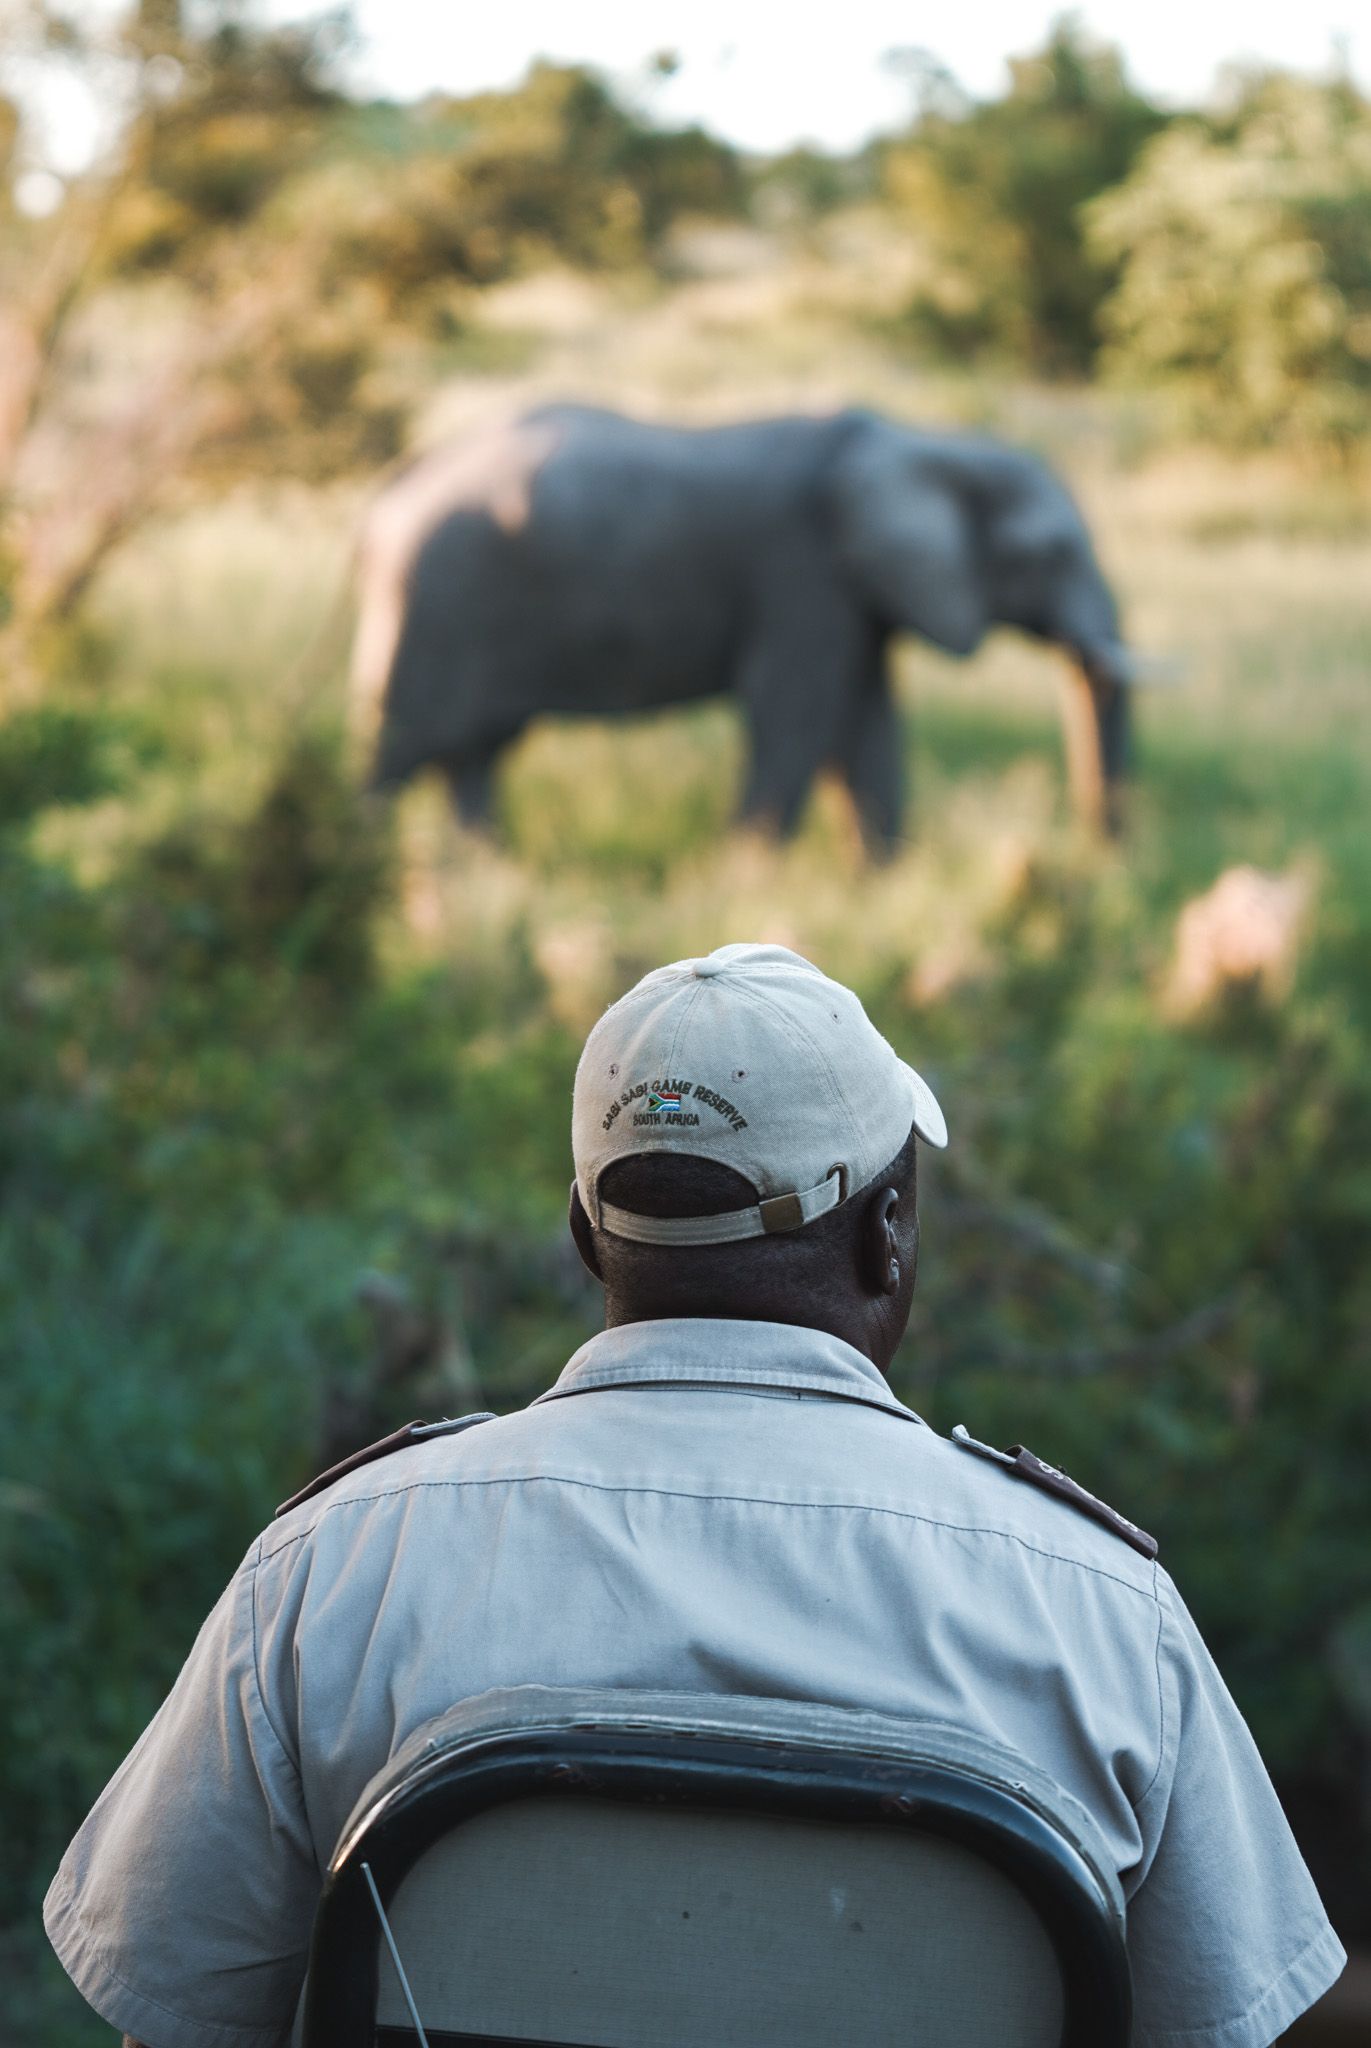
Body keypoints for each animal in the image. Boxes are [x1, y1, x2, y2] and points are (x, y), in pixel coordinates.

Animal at [351, 404, 1137, 850]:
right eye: (1052, 554)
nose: (1102, 865)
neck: (923, 443)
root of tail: (388, 487)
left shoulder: (853, 595)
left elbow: (867, 726)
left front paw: (882, 886)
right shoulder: (804, 574)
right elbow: (796, 719)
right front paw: (747, 881)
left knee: (473, 757)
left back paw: (484, 878)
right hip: (432, 604)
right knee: (402, 752)